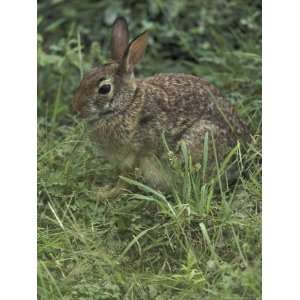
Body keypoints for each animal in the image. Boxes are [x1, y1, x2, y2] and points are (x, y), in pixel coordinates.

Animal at [73, 16, 251, 195]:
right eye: (86, 76)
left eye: (104, 89)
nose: (77, 109)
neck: (126, 105)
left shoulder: (135, 154)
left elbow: (125, 178)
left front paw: (105, 193)